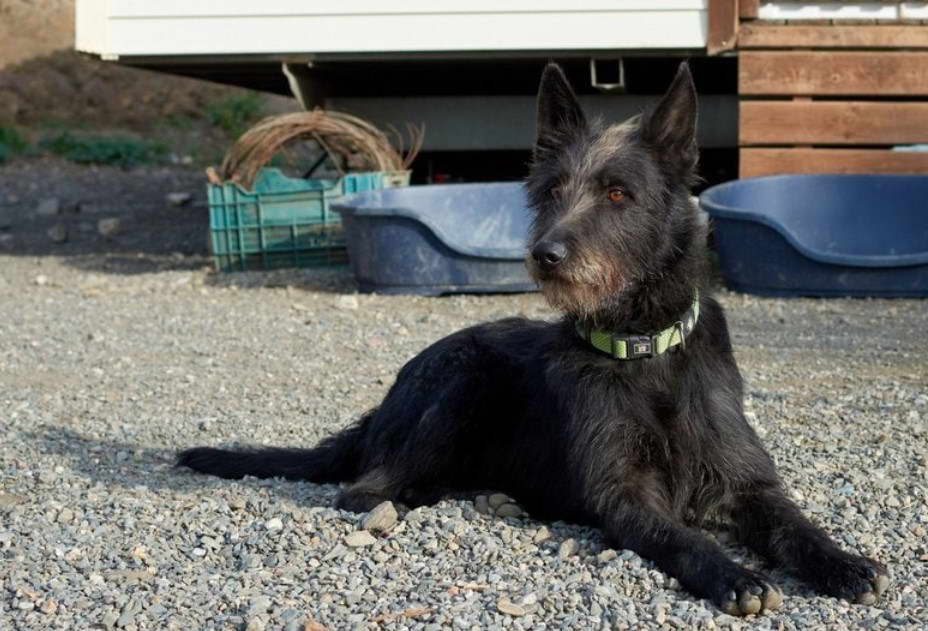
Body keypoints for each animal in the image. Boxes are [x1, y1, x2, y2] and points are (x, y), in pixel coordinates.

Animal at [178, 63, 888, 616]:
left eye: (618, 193)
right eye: (551, 191)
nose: (545, 255)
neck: (643, 350)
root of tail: (378, 410)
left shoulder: (749, 485)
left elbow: (796, 524)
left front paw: (844, 561)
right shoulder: (624, 496)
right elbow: (687, 539)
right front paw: (735, 574)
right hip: (462, 377)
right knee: (364, 489)